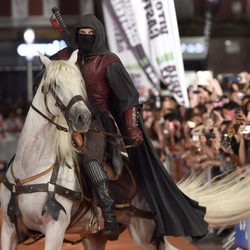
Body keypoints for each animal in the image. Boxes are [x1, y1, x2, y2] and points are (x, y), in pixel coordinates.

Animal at [0, 50, 176, 250]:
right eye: (55, 84)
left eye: (80, 83)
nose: (83, 117)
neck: (31, 169)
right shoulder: (8, 229)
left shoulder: (55, 230)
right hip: (94, 238)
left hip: (144, 235)